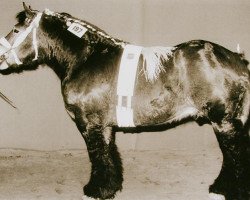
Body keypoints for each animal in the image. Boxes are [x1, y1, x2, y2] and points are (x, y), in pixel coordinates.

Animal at [0, 3, 249, 200]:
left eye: (15, 30)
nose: (0, 59)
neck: (87, 59)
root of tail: (237, 60)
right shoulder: (105, 126)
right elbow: (108, 154)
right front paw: (110, 187)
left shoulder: (90, 124)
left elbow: (98, 156)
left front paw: (96, 190)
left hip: (224, 122)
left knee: (235, 155)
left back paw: (228, 189)